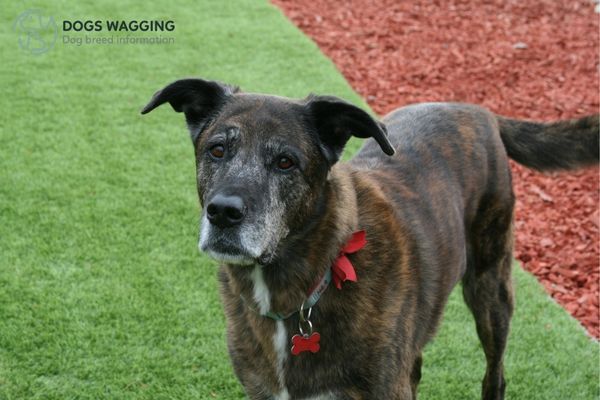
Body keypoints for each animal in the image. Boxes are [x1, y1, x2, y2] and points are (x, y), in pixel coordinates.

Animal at [142, 79, 600, 400]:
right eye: (217, 150)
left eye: (286, 162)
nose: (222, 212)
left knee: (496, 374)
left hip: (491, 288)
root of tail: (479, 111)